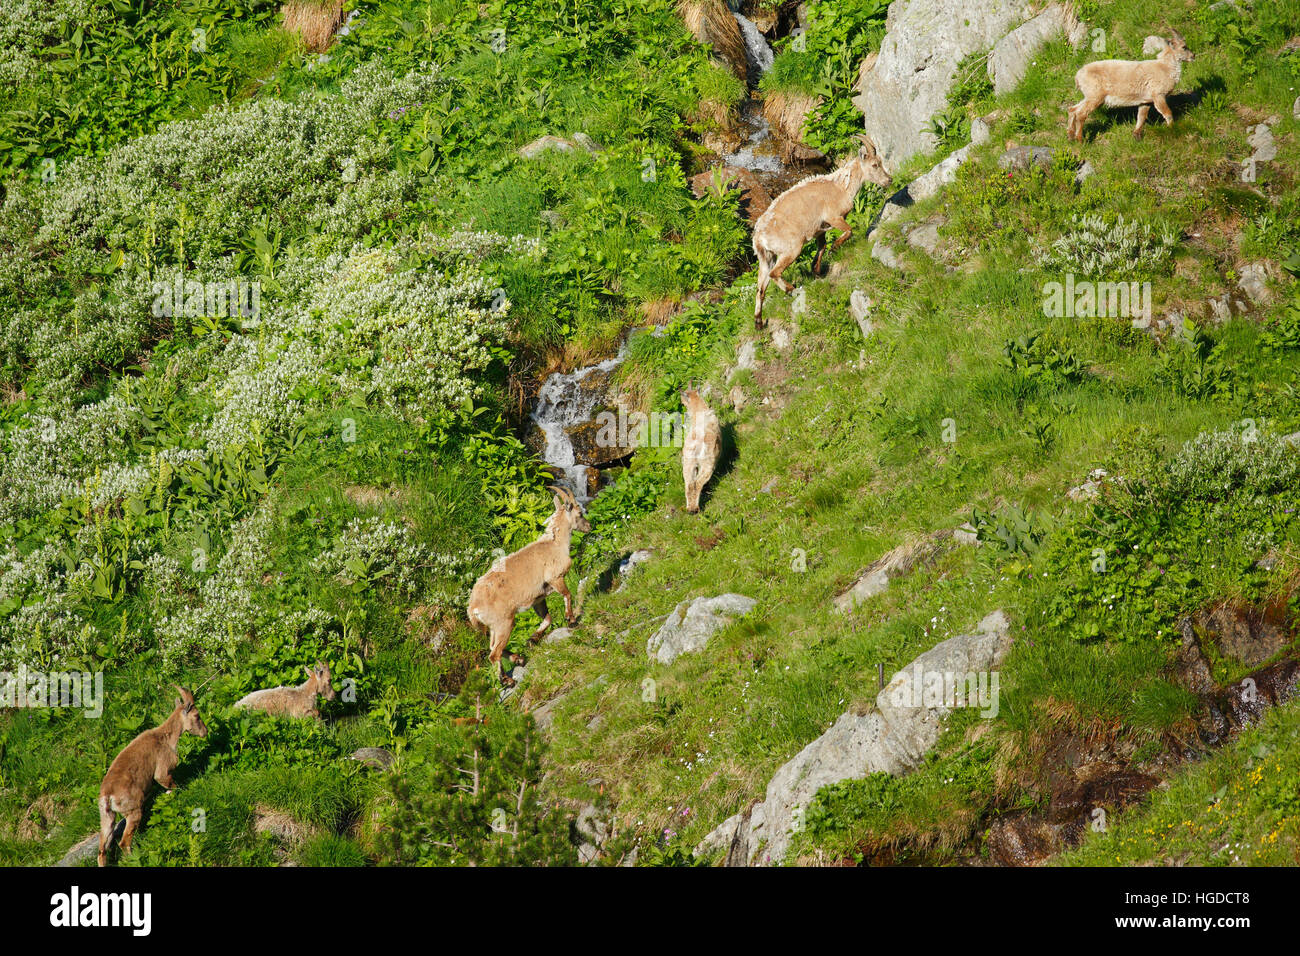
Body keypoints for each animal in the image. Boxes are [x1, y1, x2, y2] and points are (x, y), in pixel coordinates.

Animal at [98, 685, 208, 867]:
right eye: (197, 715)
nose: (205, 732)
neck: (164, 737)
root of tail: (108, 796)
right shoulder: (163, 771)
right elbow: (171, 785)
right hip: (133, 810)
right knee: (124, 842)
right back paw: (134, 858)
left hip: (107, 818)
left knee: (102, 849)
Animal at [467, 486, 591, 685]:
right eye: (579, 512)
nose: (589, 526)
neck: (555, 543)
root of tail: (473, 607)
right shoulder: (555, 578)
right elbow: (567, 594)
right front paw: (571, 620)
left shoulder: (538, 599)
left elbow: (547, 618)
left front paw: (532, 639)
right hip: (504, 622)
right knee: (493, 654)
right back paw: (507, 680)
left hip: (494, 626)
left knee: (493, 647)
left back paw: (518, 659)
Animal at [752, 135, 892, 329]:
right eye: (874, 165)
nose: (889, 180)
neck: (841, 186)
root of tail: (759, 237)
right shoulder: (834, 217)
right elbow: (849, 231)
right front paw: (835, 248)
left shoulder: (820, 229)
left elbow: (822, 247)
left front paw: (816, 270)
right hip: (791, 249)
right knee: (774, 274)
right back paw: (791, 289)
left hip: (766, 257)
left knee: (760, 288)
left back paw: (758, 322)